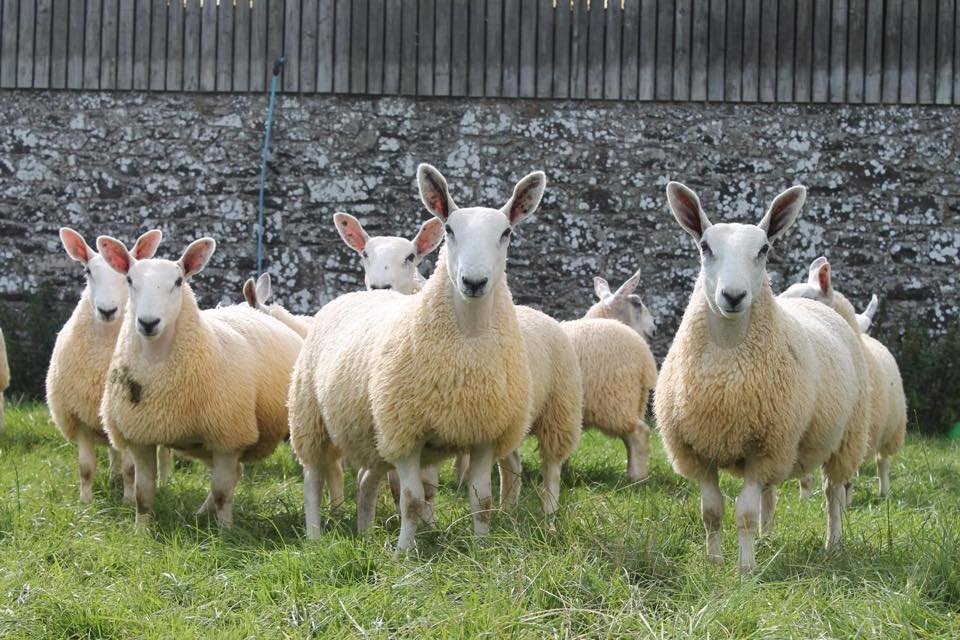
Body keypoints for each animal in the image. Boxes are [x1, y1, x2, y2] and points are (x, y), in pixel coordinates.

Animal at [45, 228, 169, 503]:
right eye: (87, 271)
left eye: (127, 278)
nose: (107, 310)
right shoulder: (80, 414)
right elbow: (86, 467)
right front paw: (85, 502)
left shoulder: (128, 419)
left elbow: (131, 468)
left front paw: (128, 500)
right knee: (114, 451)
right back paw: (113, 476)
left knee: (163, 455)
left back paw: (165, 483)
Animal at [96, 235, 303, 528]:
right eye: (129, 280)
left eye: (178, 281)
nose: (148, 323)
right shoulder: (140, 436)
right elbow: (142, 494)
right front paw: (140, 531)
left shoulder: (229, 437)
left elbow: (222, 492)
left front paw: (225, 532)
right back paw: (200, 513)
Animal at [288, 164, 543, 549]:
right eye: (449, 229)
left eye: (507, 233)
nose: (473, 282)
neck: (468, 339)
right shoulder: (405, 432)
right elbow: (411, 500)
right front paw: (404, 552)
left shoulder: (485, 430)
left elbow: (481, 499)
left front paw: (482, 547)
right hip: (310, 418)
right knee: (313, 480)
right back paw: (315, 535)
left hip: (372, 433)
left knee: (366, 480)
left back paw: (364, 531)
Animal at [655, 182, 870, 571]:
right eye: (705, 247)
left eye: (764, 249)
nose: (733, 296)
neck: (726, 363)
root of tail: (816, 303)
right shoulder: (699, 450)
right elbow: (712, 512)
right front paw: (714, 563)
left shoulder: (764, 449)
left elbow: (744, 514)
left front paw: (745, 569)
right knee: (772, 494)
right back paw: (768, 539)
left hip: (845, 437)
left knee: (833, 495)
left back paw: (833, 544)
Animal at [782, 258, 907, 501]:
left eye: (808, 298)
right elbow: (805, 476)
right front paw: (804, 499)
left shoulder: (852, 433)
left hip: (887, 429)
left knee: (882, 462)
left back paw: (882, 492)